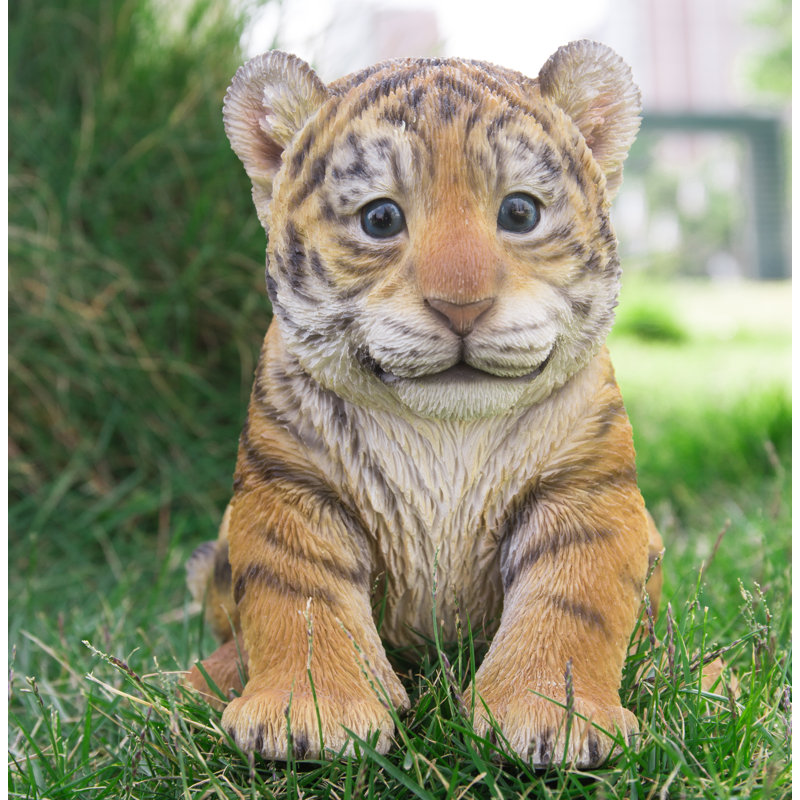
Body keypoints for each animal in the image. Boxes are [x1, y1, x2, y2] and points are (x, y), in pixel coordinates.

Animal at [184, 39, 665, 768]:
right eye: (380, 218)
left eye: (520, 213)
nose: (461, 304)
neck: (446, 430)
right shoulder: (290, 484)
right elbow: (296, 596)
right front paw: (308, 714)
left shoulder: (585, 487)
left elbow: (573, 599)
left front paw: (551, 713)